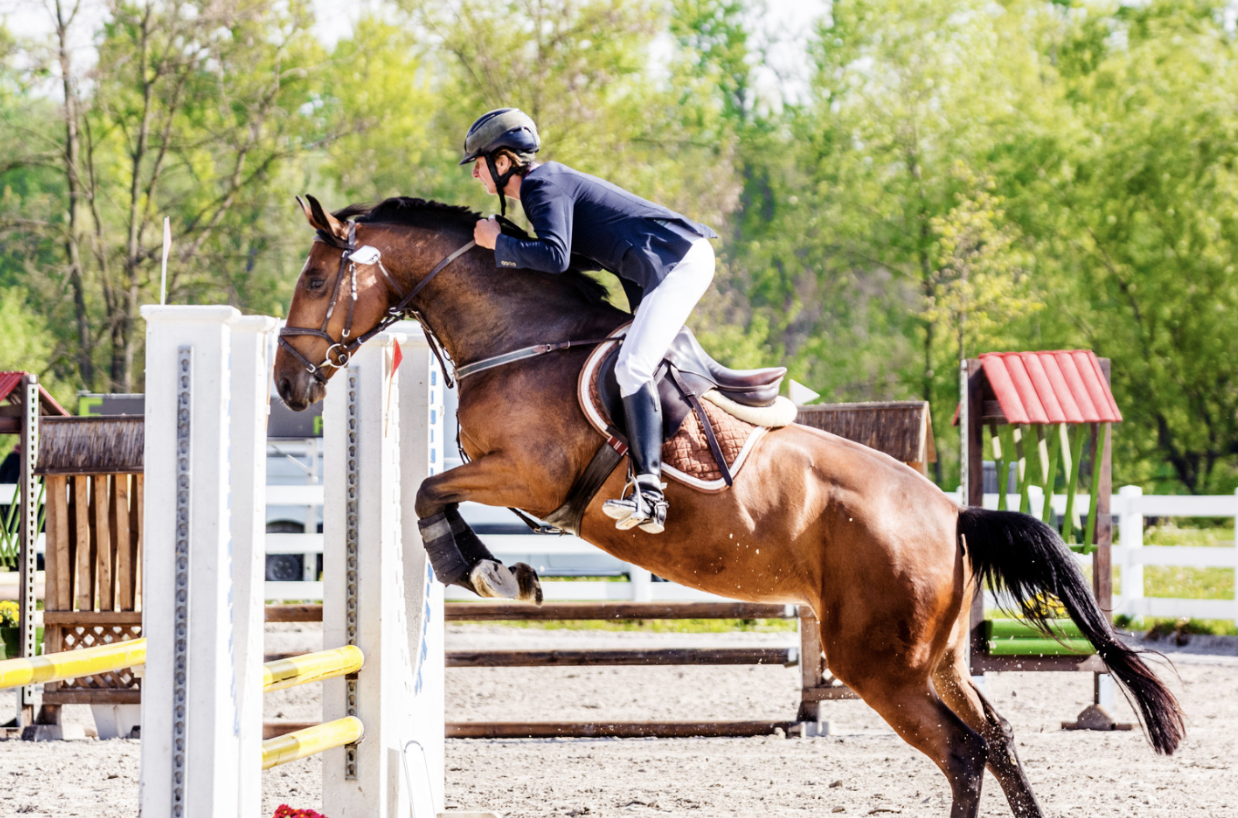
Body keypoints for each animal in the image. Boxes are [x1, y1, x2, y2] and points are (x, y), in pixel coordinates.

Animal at [274, 194, 1184, 818]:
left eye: (315, 278)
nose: (287, 386)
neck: (520, 338)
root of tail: (953, 514)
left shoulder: (527, 478)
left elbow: (429, 492)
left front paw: (488, 571)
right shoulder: (510, 478)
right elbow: (435, 491)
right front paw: (498, 570)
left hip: (879, 663)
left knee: (962, 752)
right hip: (937, 658)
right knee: (994, 737)